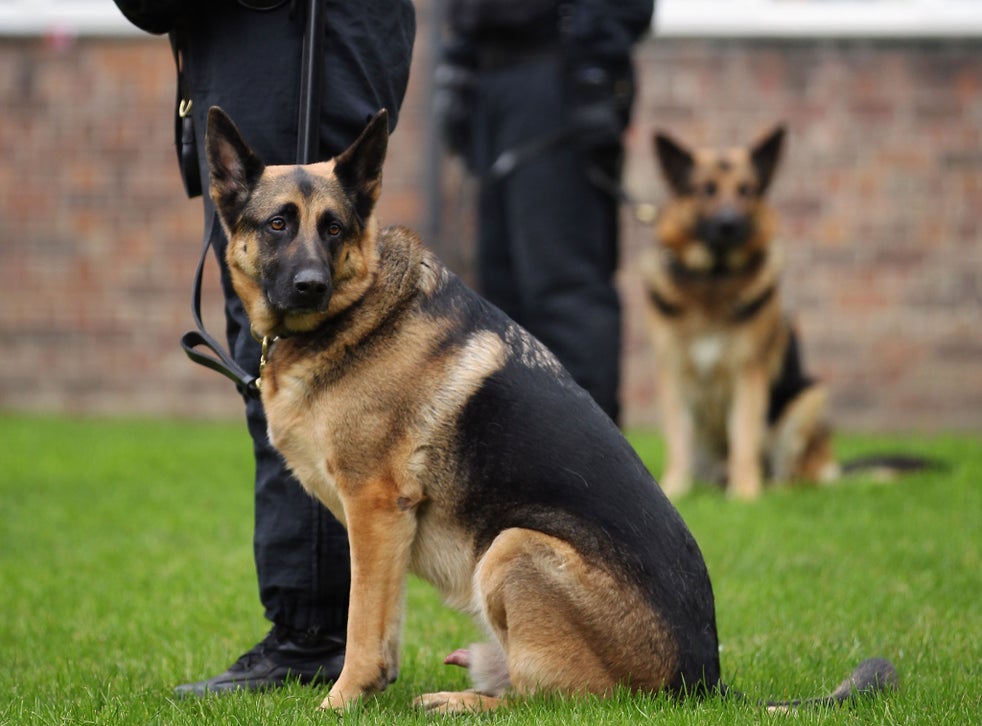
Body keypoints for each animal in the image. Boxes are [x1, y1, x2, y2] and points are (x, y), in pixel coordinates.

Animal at [640, 125, 840, 500]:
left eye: (746, 190)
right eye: (705, 189)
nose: (729, 224)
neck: (714, 281)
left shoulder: (749, 373)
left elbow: (743, 435)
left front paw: (745, 496)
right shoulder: (673, 373)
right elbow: (677, 440)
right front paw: (674, 489)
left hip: (808, 398)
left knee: (790, 472)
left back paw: (774, 489)